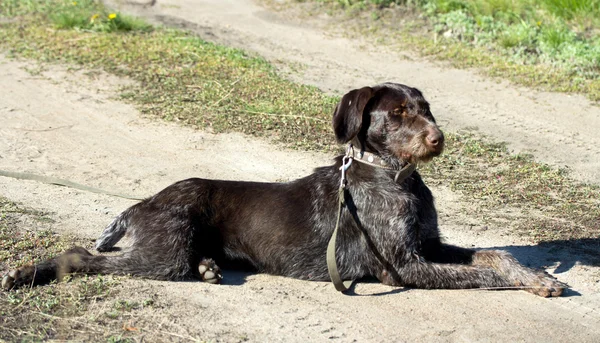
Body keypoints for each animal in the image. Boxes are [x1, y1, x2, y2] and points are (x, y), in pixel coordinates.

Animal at [1, 84, 564, 298]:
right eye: (400, 113)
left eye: (426, 109)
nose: (438, 138)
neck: (393, 177)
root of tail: (143, 203)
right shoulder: (403, 266)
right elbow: (484, 276)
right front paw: (531, 284)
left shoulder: (426, 246)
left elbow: (493, 256)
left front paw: (537, 276)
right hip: (160, 256)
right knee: (81, 256)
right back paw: (31, 272)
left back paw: (208, 268)